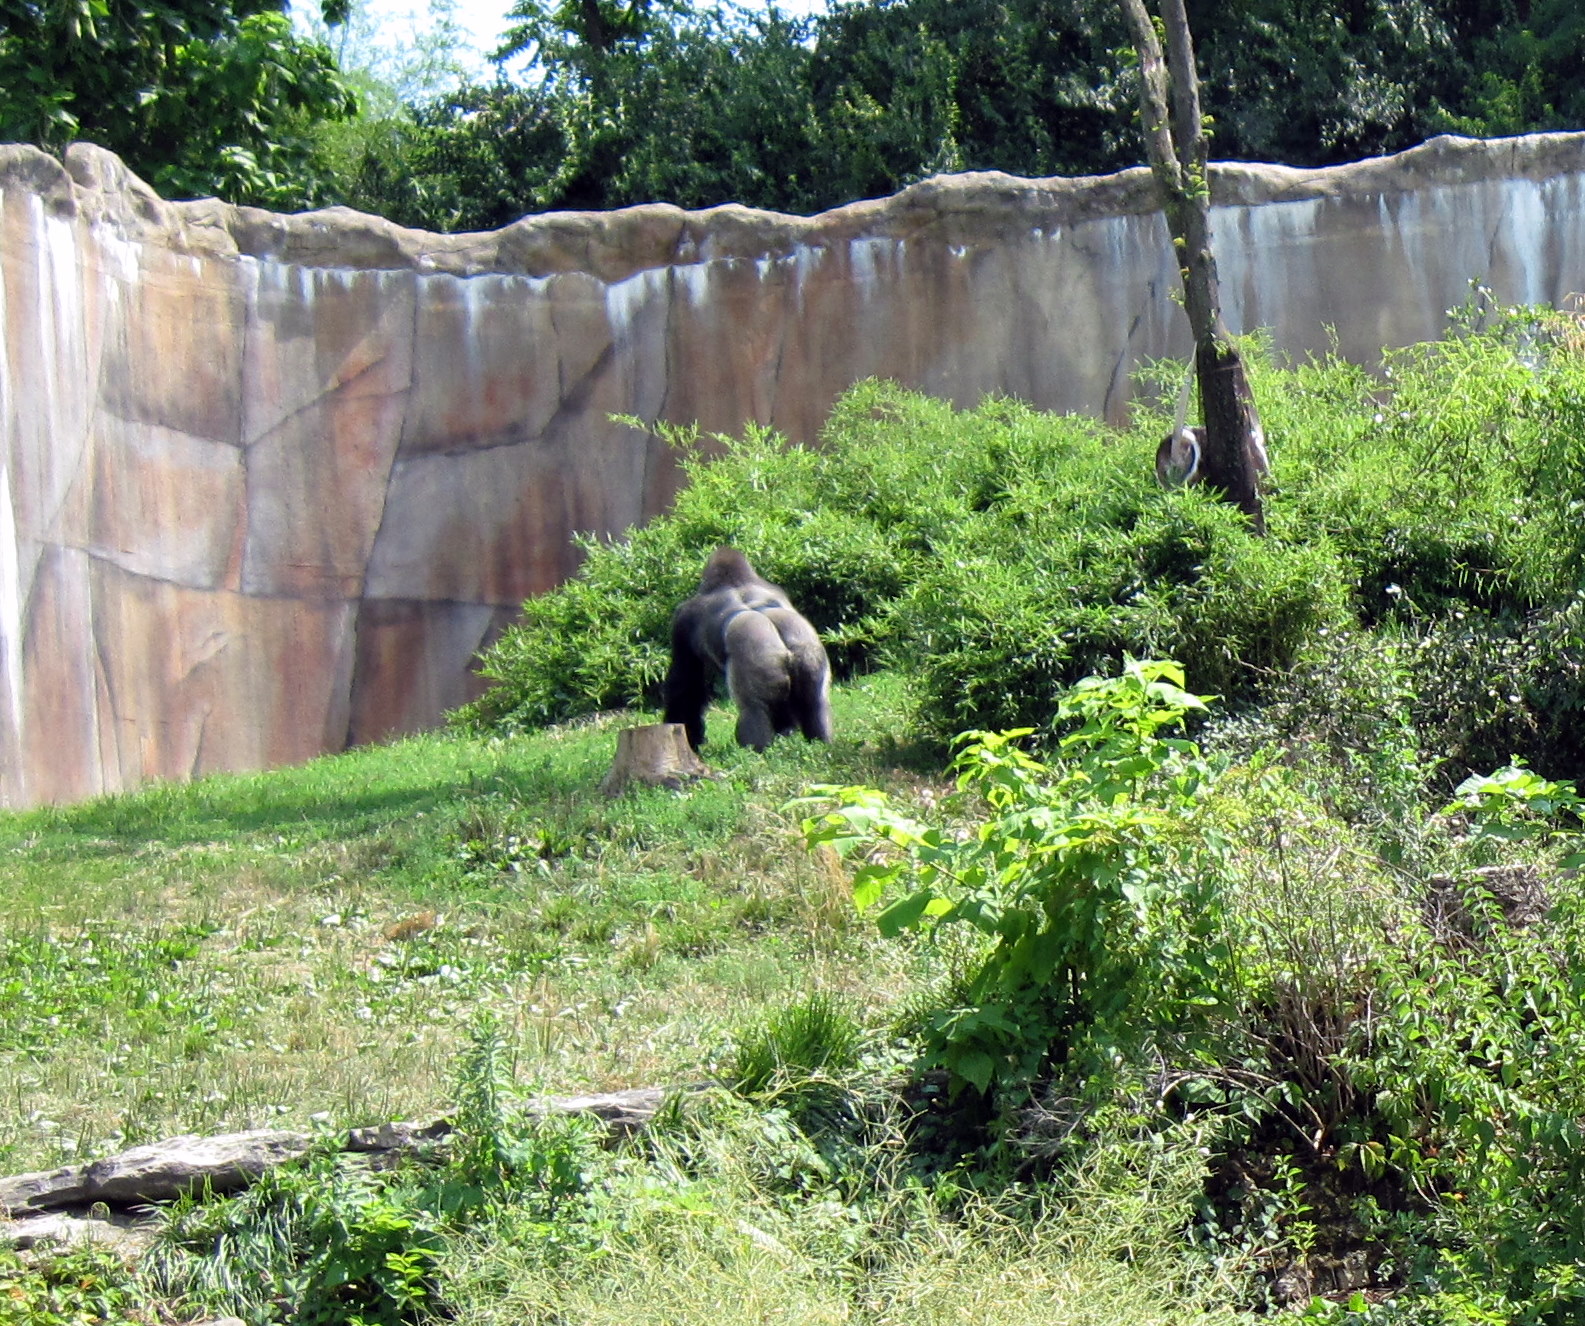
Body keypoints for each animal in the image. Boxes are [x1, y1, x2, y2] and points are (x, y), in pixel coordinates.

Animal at [663, 547, 833, 753]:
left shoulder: (683, 617)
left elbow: (684, 686)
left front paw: (690, 738)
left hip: (761, 660)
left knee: (753, 709)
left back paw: (755, 750)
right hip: (810, 655)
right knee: (815, 702)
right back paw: (820, 741)